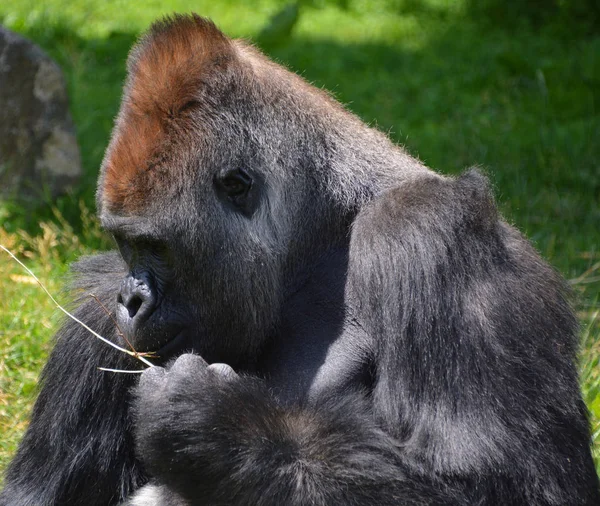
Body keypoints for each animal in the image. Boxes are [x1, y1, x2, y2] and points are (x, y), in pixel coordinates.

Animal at [1, 13, 600, 506]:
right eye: (124, 244)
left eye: (156, 247)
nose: (131, 298)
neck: (318, 240)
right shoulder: (96, 311)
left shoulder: (426, 231)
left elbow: (503, 482)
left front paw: (208, 422)